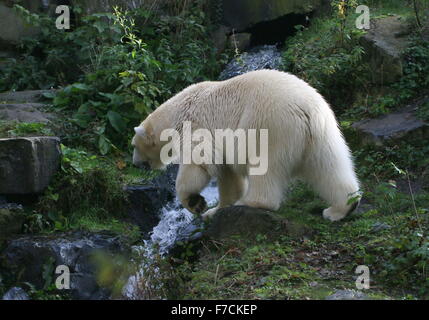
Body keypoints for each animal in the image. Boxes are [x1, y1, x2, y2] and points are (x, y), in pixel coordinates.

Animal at [132, 69, 360, 221]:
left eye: (134, 145)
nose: (135, 163)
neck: (177, 112)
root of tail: (306, 109)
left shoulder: (197, 128)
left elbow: (199, 164)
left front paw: (196, 203)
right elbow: (229, 176)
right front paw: (215, 210)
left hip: (268, 124)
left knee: (264, 165)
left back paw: (253, 202)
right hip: (322, 132)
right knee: (329, 166)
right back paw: (342, 208)